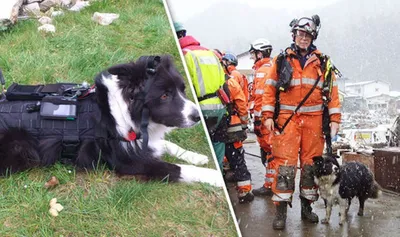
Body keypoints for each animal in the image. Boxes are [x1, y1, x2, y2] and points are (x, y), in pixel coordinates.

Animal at [0, 55, 223, 187]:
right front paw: (214, 176)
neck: (127, 112)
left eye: (182, 90)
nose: (197, 116)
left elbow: (168, 145)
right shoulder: (129, 163)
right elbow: (177, 168)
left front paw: (196, 156)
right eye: (165, 95)